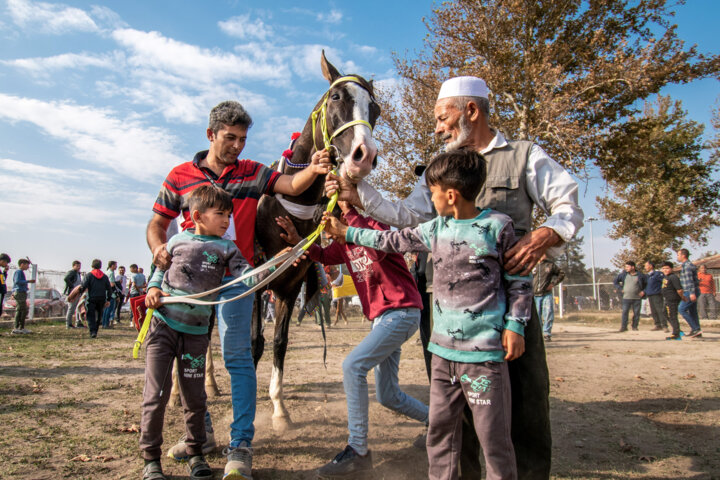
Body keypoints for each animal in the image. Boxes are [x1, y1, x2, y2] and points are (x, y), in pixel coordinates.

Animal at [250, 52, 380, 432]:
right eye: (336, 97)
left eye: (376, 109)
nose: (364, 155)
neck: (287, 207)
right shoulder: (254, 284)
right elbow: (254, 343)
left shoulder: (288, 287)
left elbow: (279, 342)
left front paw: (279, 410)